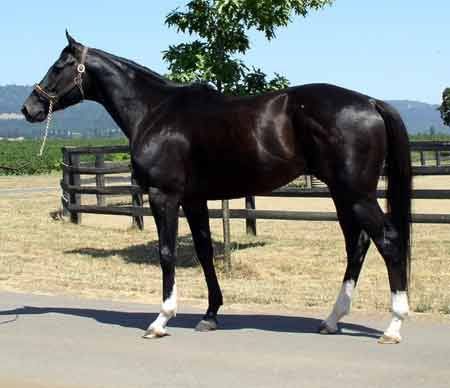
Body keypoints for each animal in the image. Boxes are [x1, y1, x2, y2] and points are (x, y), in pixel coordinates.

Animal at [22, 32, 414, 342]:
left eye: (59, 66)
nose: (30, 107)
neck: (155, 111)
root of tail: (371, 102)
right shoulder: (194, 199)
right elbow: (205, 251)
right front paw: (210, 315)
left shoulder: (164, 196)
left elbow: (167, 252)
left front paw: (161, 319)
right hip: (342, 193)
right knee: (357, 245)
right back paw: (332, 320)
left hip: (357, 194)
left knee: (387, 241)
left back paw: (393, 326)